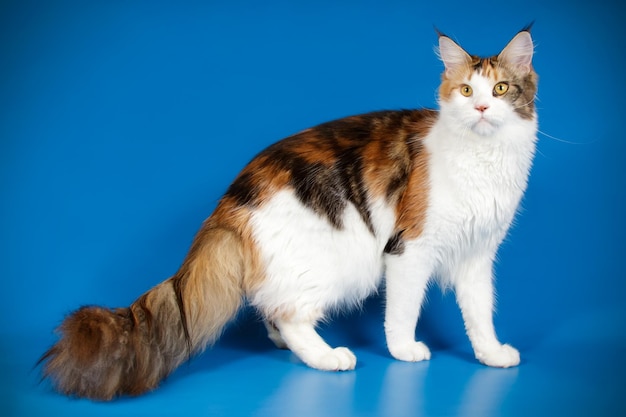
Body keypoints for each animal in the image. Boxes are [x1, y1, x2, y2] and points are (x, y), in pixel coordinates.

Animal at [40, 26, 536, 400]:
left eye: (501, 89)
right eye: (466, 90)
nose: (481, 107)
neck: (483, 160)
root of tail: (229, 202)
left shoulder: (477, 256)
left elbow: (480, 314)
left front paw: (491, 355)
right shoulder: (409, 250)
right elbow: (403, 311)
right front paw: (404, 350)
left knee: (274, 305)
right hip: (342, 260)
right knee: (292, 315)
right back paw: (327, 356)